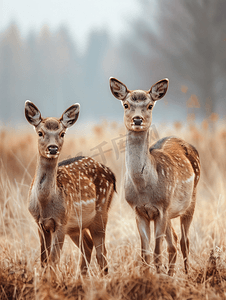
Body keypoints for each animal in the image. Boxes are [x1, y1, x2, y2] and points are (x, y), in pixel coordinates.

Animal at [25, 101, 115, 274]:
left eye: (62, 133)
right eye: (40, 133)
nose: (53, 148)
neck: (45, 204)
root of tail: (111, 173)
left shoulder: (61, 221)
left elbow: (53, 260)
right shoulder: (39, 223)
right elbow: (44, 261)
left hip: (101, 212)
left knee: (101, 252)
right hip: (76, 226)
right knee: (88, 246)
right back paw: (82, 276)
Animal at [110, 78, 200, 276]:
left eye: (150, 105)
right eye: (126, 104)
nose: (137, 119)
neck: (144, 189)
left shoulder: (162, 208)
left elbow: (157, 251)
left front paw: (158, 275)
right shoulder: (138, 211)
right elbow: (145, 253)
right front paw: (148, 275)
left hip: (191, 199)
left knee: (184, 241)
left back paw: (187, 273)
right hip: (171, 211)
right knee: (174, 242)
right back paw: (171, 273)